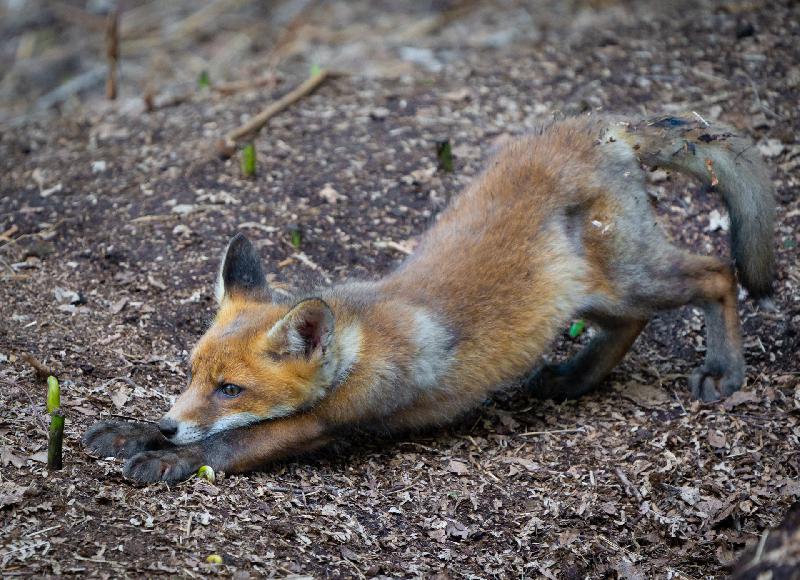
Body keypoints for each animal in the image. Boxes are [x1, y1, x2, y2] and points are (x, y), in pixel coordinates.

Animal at [84, 113, 775, 483]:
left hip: (634, 275)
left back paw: (724, 370)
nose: (170, 425)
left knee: (717, 273)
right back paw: (577, 378)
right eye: (194, 375)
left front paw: (166, 456)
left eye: (232, 389)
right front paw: (135, 432)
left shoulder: (331, 420)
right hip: (596, 295)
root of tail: (594, 129)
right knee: (632, 322)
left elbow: (226, 445)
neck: (359, 343)